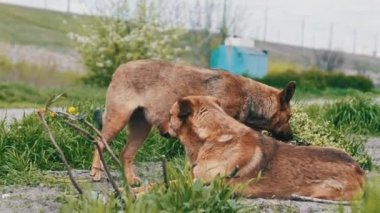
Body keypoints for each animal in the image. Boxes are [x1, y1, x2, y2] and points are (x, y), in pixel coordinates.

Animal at [91, 59, 296, 184]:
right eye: (289, 117)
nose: (291, 136)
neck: (249, 98)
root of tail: (120, 68)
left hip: (141, 128)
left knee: (126, 153)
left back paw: (130, 180)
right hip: (118, 120)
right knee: (99, 142)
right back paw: (96, 172)